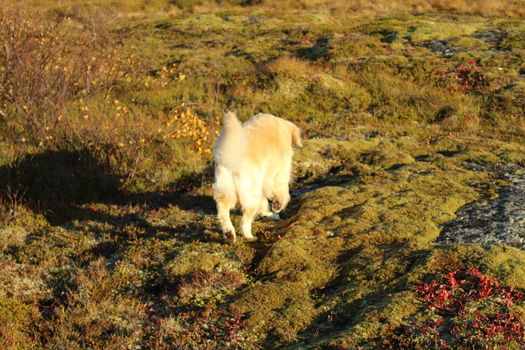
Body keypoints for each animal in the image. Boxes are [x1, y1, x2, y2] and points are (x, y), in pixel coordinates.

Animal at [212, 113, 300, 243]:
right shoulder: (280, 171)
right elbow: (282, 193)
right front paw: (277, 207)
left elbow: (264, 202)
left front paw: (269, 213)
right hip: (250, 192)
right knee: (245, 220)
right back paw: (249, 235)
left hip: (226, 189)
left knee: (223, 211)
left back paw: (229, 234)